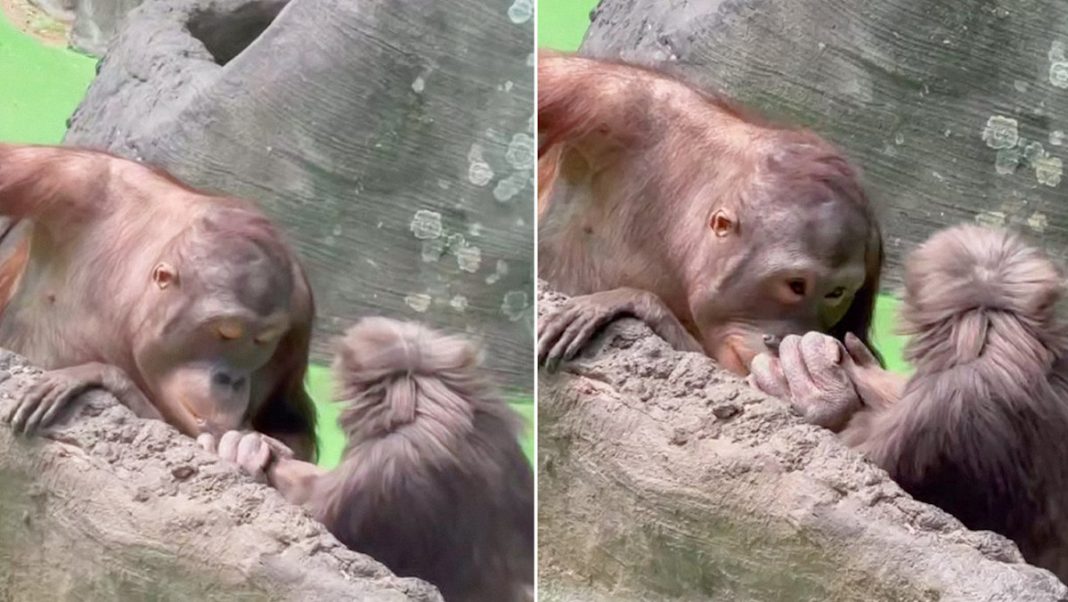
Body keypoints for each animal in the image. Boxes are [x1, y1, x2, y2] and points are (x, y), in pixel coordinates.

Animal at [0, 143, 318, 460]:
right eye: (227, 332)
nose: (231, 380)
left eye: (262, 341)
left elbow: (286, 420)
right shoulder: (72, 177)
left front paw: (247, 446)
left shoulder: (299, 306)